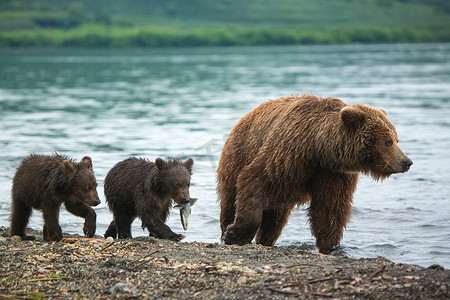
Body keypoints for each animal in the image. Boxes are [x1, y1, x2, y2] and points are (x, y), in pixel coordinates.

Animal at [218, 94, 412, 253]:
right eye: (388, 141)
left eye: (397, 139)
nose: (407, 162)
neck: (319, 149)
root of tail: (244, 117)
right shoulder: (287, 155)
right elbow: (255, 179)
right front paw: (233, 234)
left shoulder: (333, 173)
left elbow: (330, 208)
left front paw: (330, 246)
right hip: (238, 154)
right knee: (230, 200)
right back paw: (226, 230)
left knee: (276, 217)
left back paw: (266, 239)